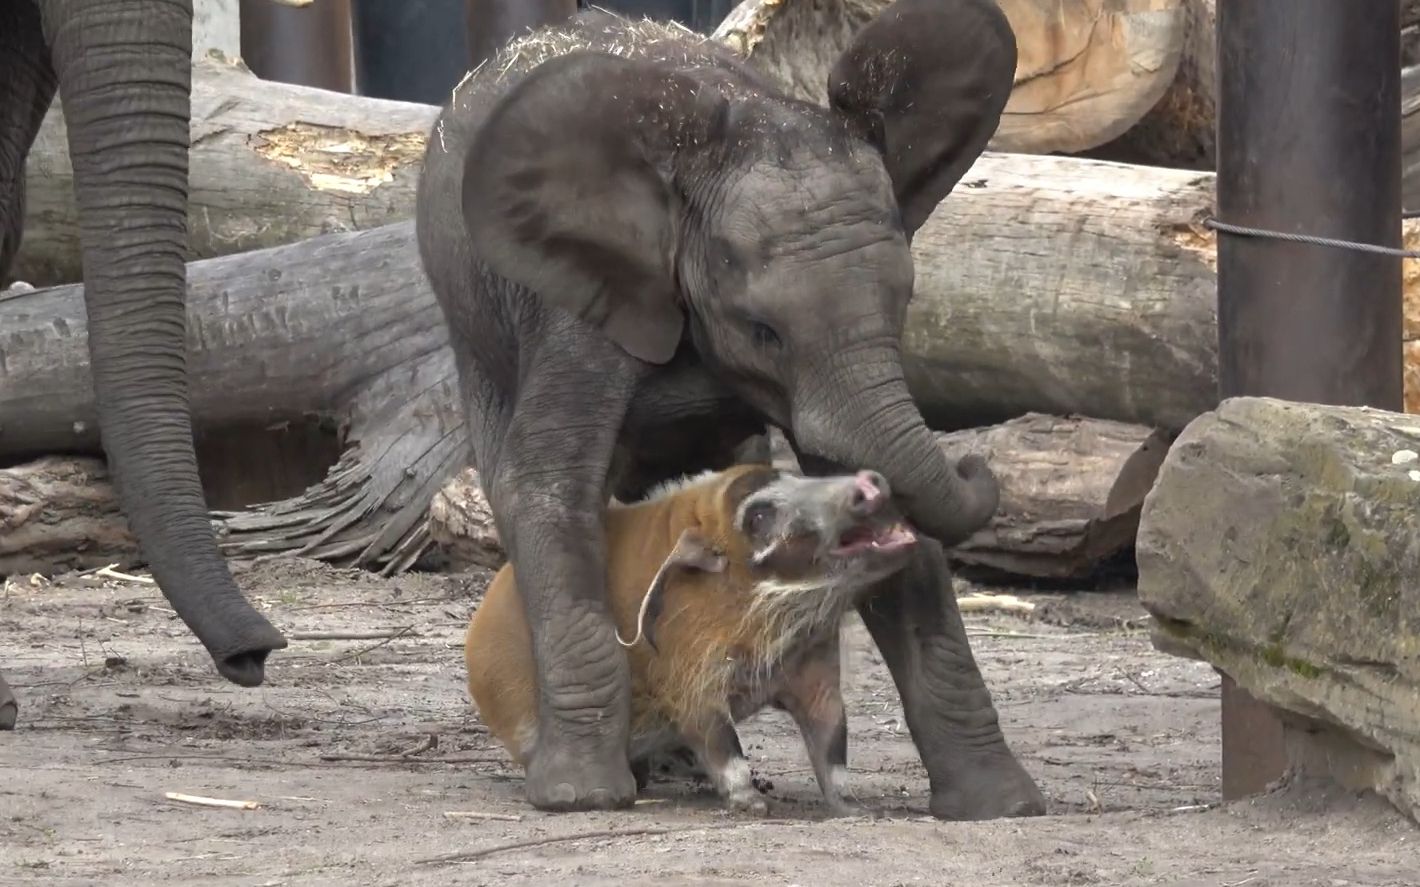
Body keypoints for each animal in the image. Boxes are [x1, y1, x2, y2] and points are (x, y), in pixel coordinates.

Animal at [460, 462, 914, 817]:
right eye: (758, 517)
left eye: (792, 475)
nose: (870, 481)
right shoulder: (691, 672)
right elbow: (719, 740)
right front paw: (754, 805)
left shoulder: (817, 669)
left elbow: (833, 740)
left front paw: (856, 810)